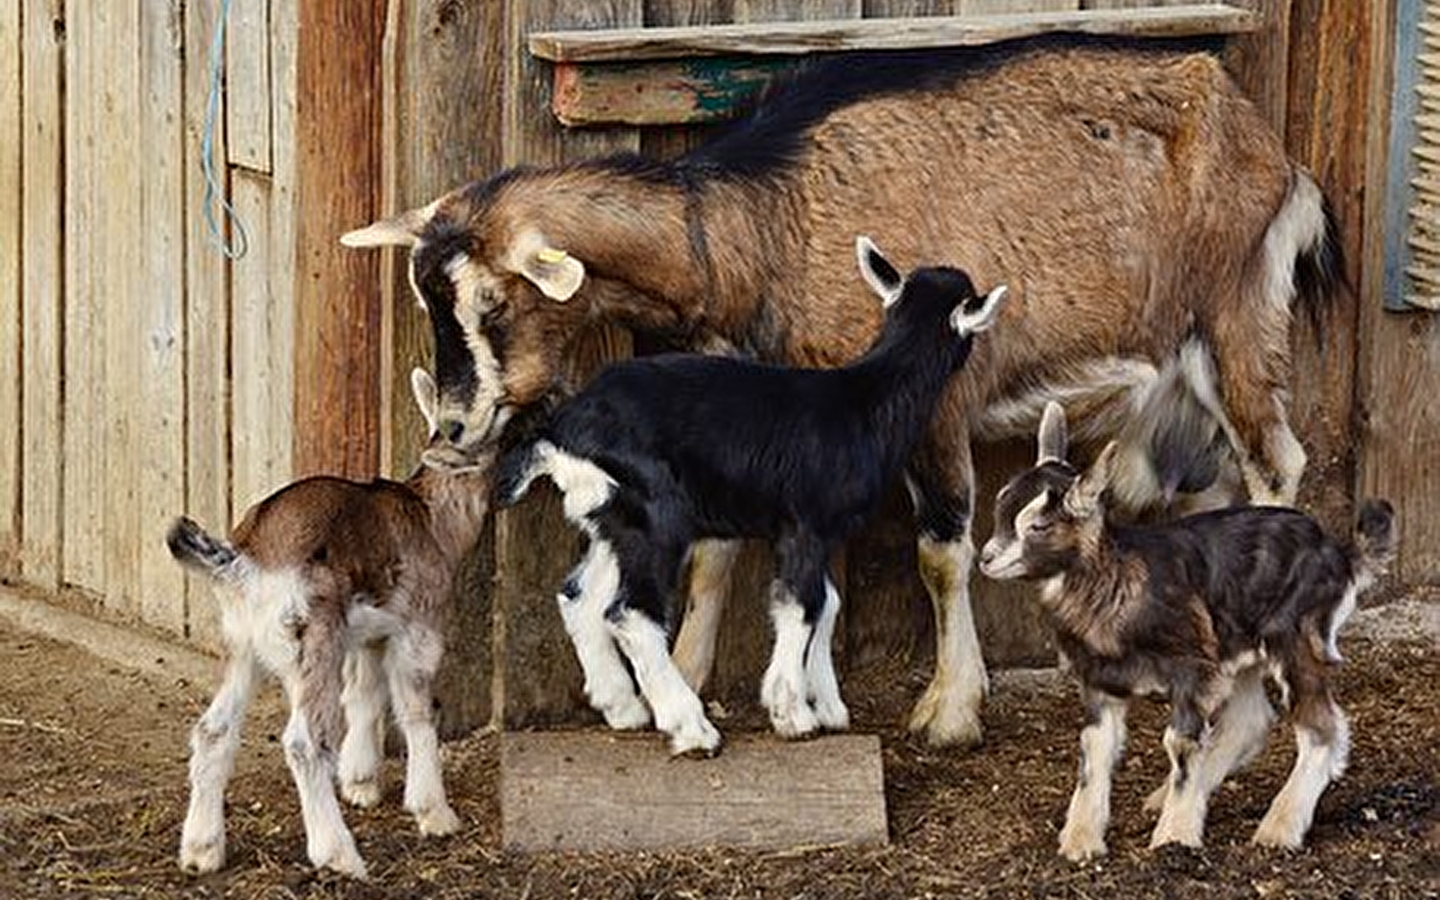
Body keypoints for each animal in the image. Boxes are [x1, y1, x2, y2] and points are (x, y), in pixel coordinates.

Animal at [165, 368, 486, 875]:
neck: (432, 518)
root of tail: (244, 561)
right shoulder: (419, 625)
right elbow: (416, 710)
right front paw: (434, 813)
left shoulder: (368, 635)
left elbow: (365, 695)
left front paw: (361, 785)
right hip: (311, 639)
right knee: (304, 741)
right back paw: (338, 855)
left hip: (242, 646)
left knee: (213, 730)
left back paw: (201, 851)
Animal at [979, 400, 1393, 858]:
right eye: (1000, 509)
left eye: (1038, 526)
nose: (986, 558)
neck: (1117, 581)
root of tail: (1341, 554)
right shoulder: (1102, 680)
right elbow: (1094, 749)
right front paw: (1081, 840)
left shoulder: (1192, 669)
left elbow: (1179, 744)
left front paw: (1174, 836)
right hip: (1237, 647)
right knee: (1250, 720)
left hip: (1296, 636)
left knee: (1321, 727)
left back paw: (1279, 827)